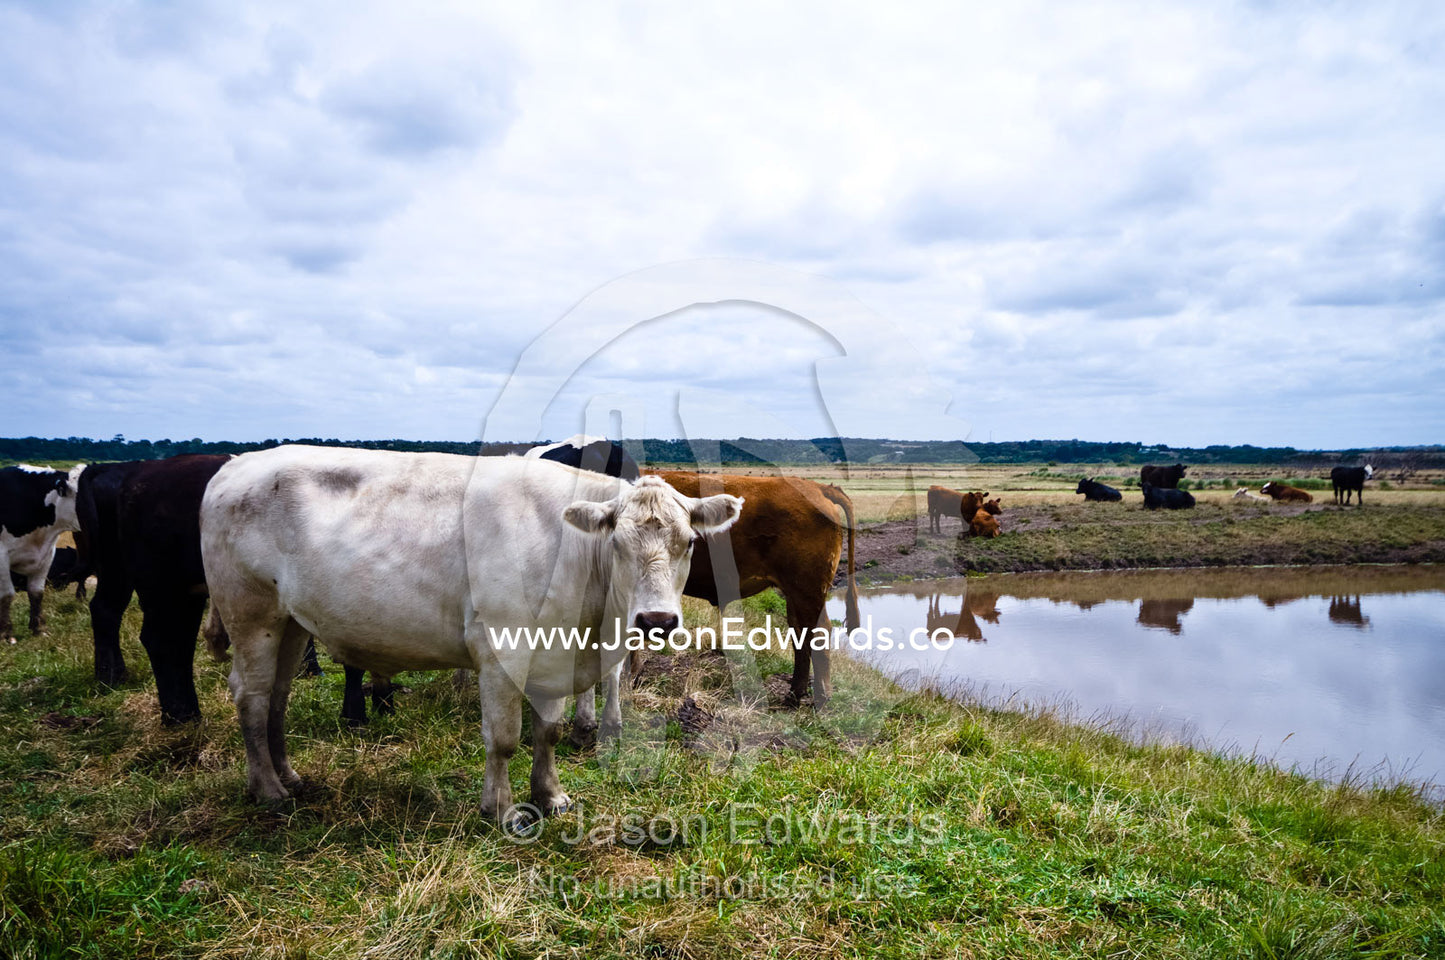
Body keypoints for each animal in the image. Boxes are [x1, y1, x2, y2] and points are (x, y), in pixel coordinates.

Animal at [1, 464, 84, 642]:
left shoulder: (47, 555)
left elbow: (37, 592)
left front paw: (39, 629)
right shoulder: (1, 556)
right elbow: (7, 594)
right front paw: (6, 634)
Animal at [200, 445, 741, 822]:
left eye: (690, 542)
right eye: (617, 543)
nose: (657, 621)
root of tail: (235, 464)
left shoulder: (553, 655)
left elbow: (547, 731)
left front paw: (550, 795)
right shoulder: (501, 652)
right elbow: (504, 738)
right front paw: (501, 809)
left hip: (290, 623)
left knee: (278, 696)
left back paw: (289, 776)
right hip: (251, 614)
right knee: (251, 696)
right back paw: (268, 789)